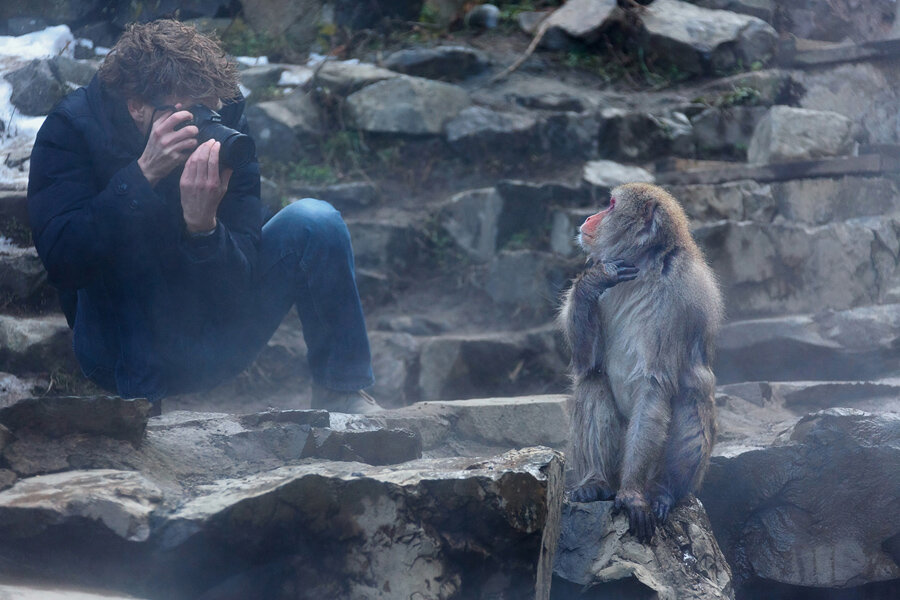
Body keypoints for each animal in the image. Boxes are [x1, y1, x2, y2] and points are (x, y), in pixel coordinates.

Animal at [556, 180, 724, 540]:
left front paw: (632, 495)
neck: (643, 267)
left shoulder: (677, 298)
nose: (589, 217)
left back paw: (663, 492)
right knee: (593, 382)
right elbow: (586, 362)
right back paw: (596, 483)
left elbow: (654, 385)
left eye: (610, 205)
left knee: (693, 393)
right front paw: (593, 280)